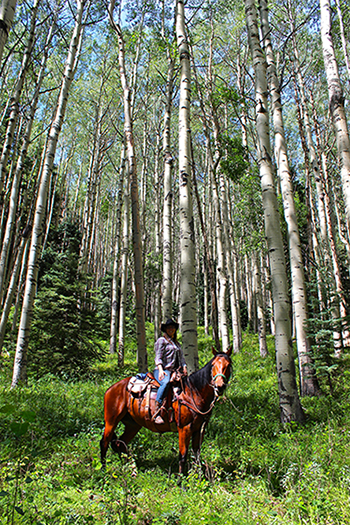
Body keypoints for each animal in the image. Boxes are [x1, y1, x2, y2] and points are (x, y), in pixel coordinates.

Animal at [100, 346, 232, 472]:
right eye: (213, 365)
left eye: (228, 365)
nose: (219, 386)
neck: (193, 393)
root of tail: (110, 389)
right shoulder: (184, 428)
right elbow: (183, 456)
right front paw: (181, 479)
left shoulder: (199, 429)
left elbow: (197, 455)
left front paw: (199, 476)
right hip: (111, 421)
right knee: (104, 442)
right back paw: (103, 470)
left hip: (133, 424)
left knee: (120, 443)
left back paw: (129, 467)